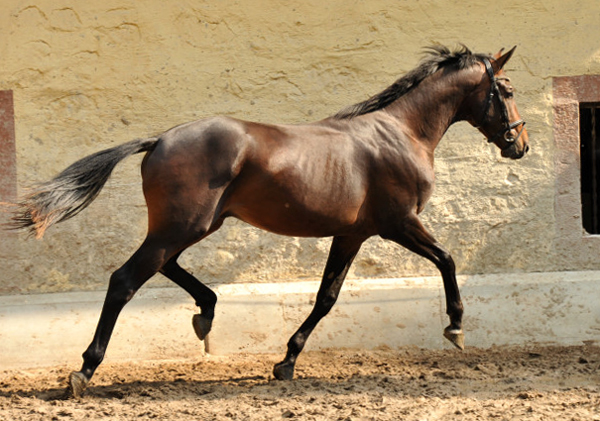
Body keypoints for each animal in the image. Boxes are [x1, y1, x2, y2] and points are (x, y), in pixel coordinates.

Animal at [11, 44, 528, 396]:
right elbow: (447, 259)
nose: (519, 144)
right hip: (183, 226)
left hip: (194, 225)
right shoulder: (398, 223)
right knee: (125, 279)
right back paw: (83, 371)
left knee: (164, 267)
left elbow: (326, 298)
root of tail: (158, 140)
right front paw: (455, 328)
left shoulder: (352, 234)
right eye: (506, 90)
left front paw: (286, 363)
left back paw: (205, 312)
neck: (401, 134)